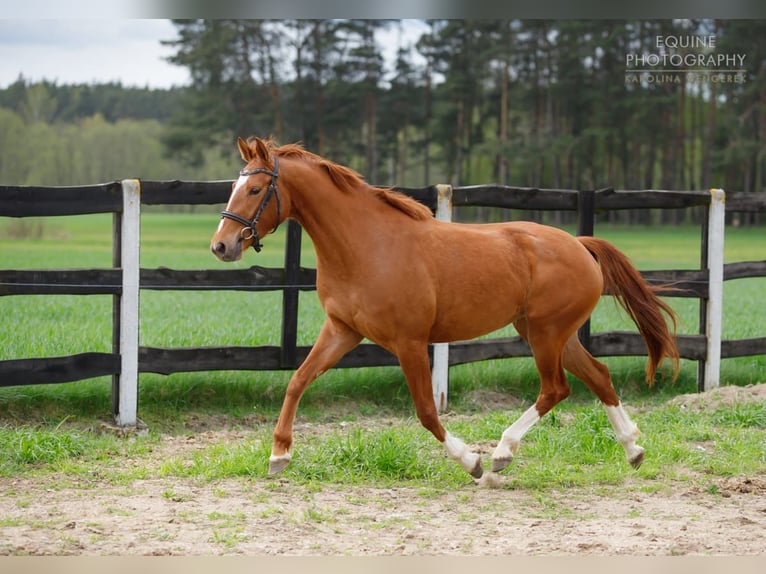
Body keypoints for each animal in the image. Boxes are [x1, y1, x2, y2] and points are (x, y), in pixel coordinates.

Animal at [211, 136, 680, 480]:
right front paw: (278, 456)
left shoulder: (409, 342)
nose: (221, 246)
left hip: (546, 334)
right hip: (547, 332)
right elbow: (297, 381)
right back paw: (633, 450)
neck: (365, 246)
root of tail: (579, 245)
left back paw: (501, 454)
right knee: (598, 376)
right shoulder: (342, 330)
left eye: (255, 189)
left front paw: (471, 462)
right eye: (233, 187)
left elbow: (426, 412)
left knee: (556, 388)